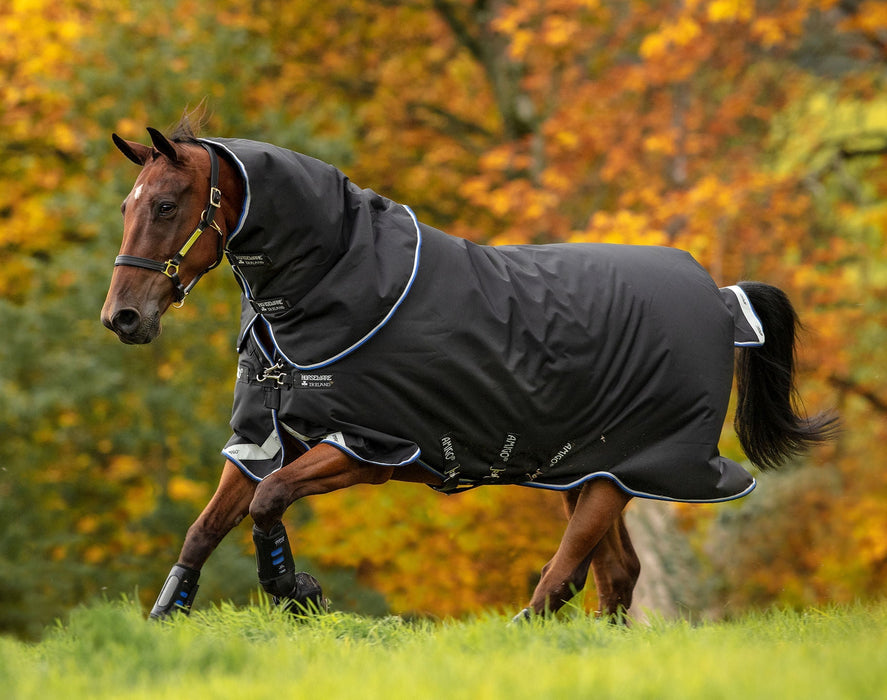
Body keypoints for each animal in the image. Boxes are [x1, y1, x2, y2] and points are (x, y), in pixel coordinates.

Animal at [101, 123, 837, 622]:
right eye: (127, 206)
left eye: (166, 204)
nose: (123, 317)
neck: (335, 284)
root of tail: (721, 297)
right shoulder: (264, 437)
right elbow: (207, 525)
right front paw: (169, 612)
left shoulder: (369, 449)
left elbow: (268, 500)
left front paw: (296, 591)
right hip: (586, 469)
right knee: (615, 576)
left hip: (629, 467)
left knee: (565, 576)